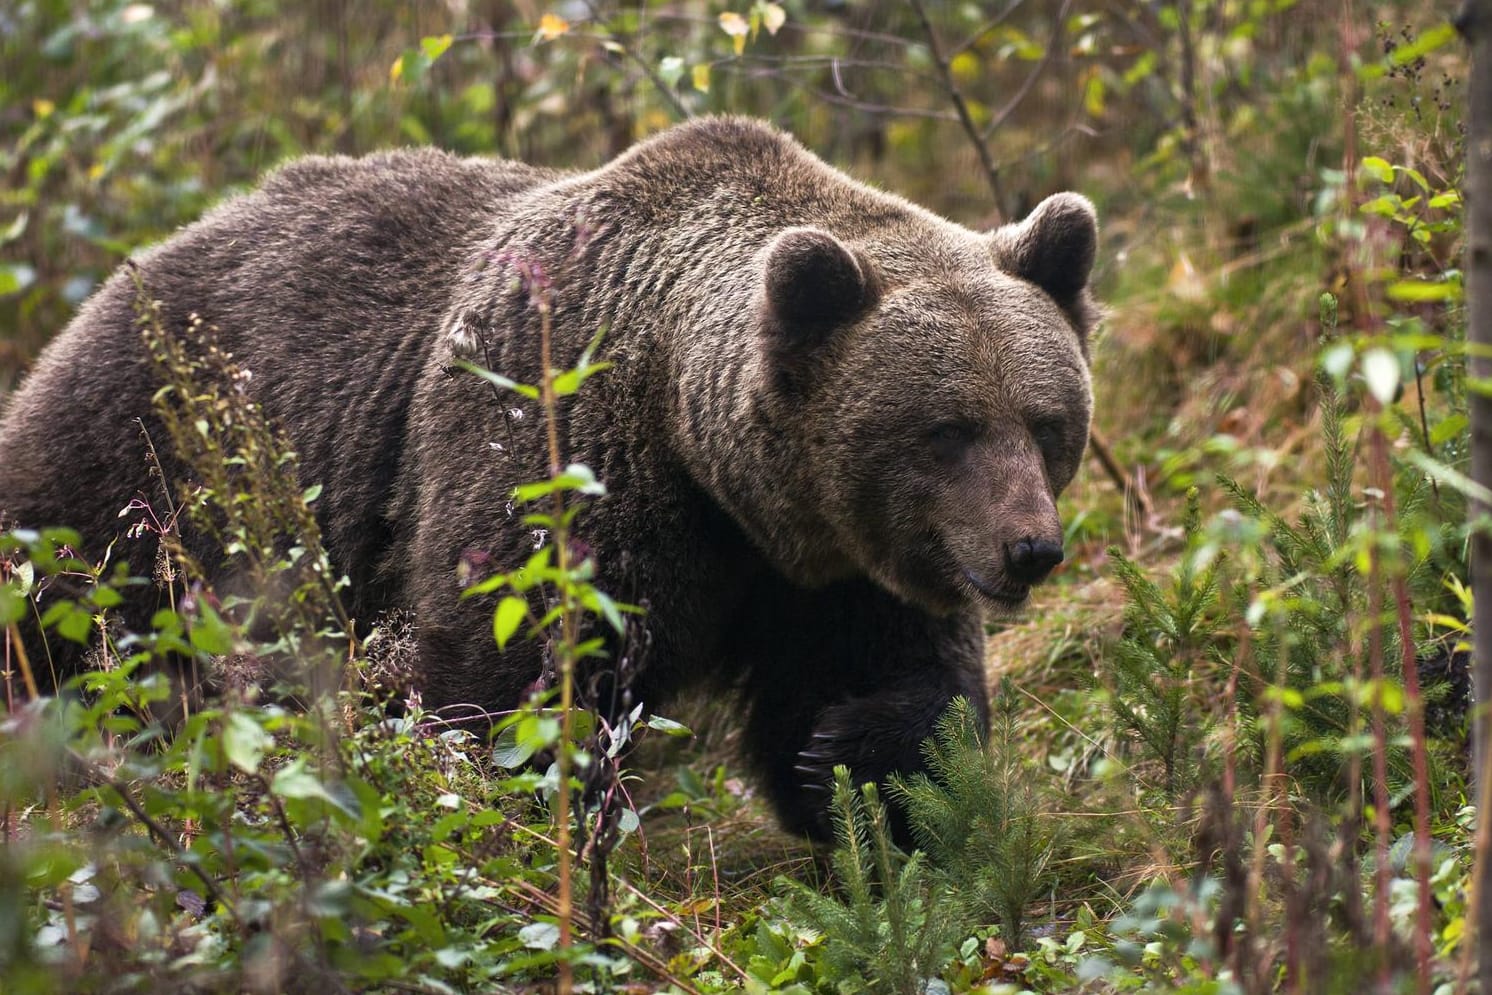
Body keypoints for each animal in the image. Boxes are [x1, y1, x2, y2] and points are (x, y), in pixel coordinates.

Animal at [0, 120, 1098, 847]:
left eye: (1046, 422)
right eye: (946, 429)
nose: (1029, 549)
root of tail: (126, 271)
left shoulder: (835, 564)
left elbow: (899, 691)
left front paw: (852, 761)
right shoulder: (558, 449)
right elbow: (509, 679)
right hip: (144, 475)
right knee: (57, 616)